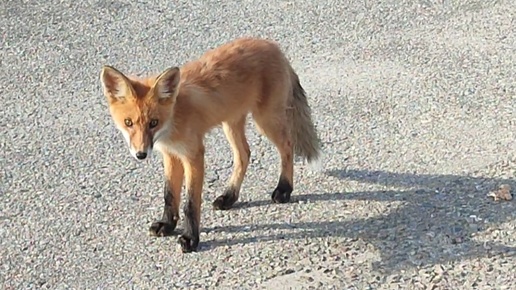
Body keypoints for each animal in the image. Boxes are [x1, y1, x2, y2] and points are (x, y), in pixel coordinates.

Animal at [99, 37, 320, 253]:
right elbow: (169, 195)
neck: (174, 120)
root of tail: (272, 45)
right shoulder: (171, 154)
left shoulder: (193, 155)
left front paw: (190, 238)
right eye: (128, 123)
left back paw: (284, 189)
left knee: (287, 146)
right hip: (231, 124)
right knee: (245, 155)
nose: (141, 154)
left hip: (265, 120)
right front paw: (167, 224)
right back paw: (229, 196)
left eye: (153, 123)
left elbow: (190, 204)